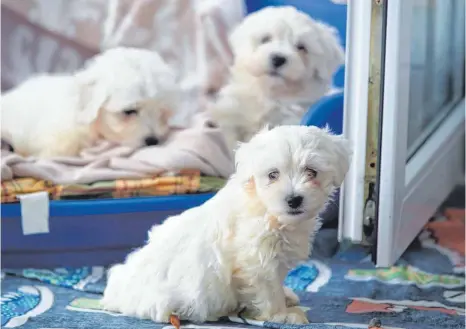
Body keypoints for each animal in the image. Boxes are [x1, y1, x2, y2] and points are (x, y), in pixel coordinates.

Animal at [101, 124, 350, 324]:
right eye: (273, 175)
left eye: (311, 172)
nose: (294, 199)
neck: (267, 210)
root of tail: (114, 293)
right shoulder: (256, 258)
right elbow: (269, 289)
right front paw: (282, 314)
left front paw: (286, 297)